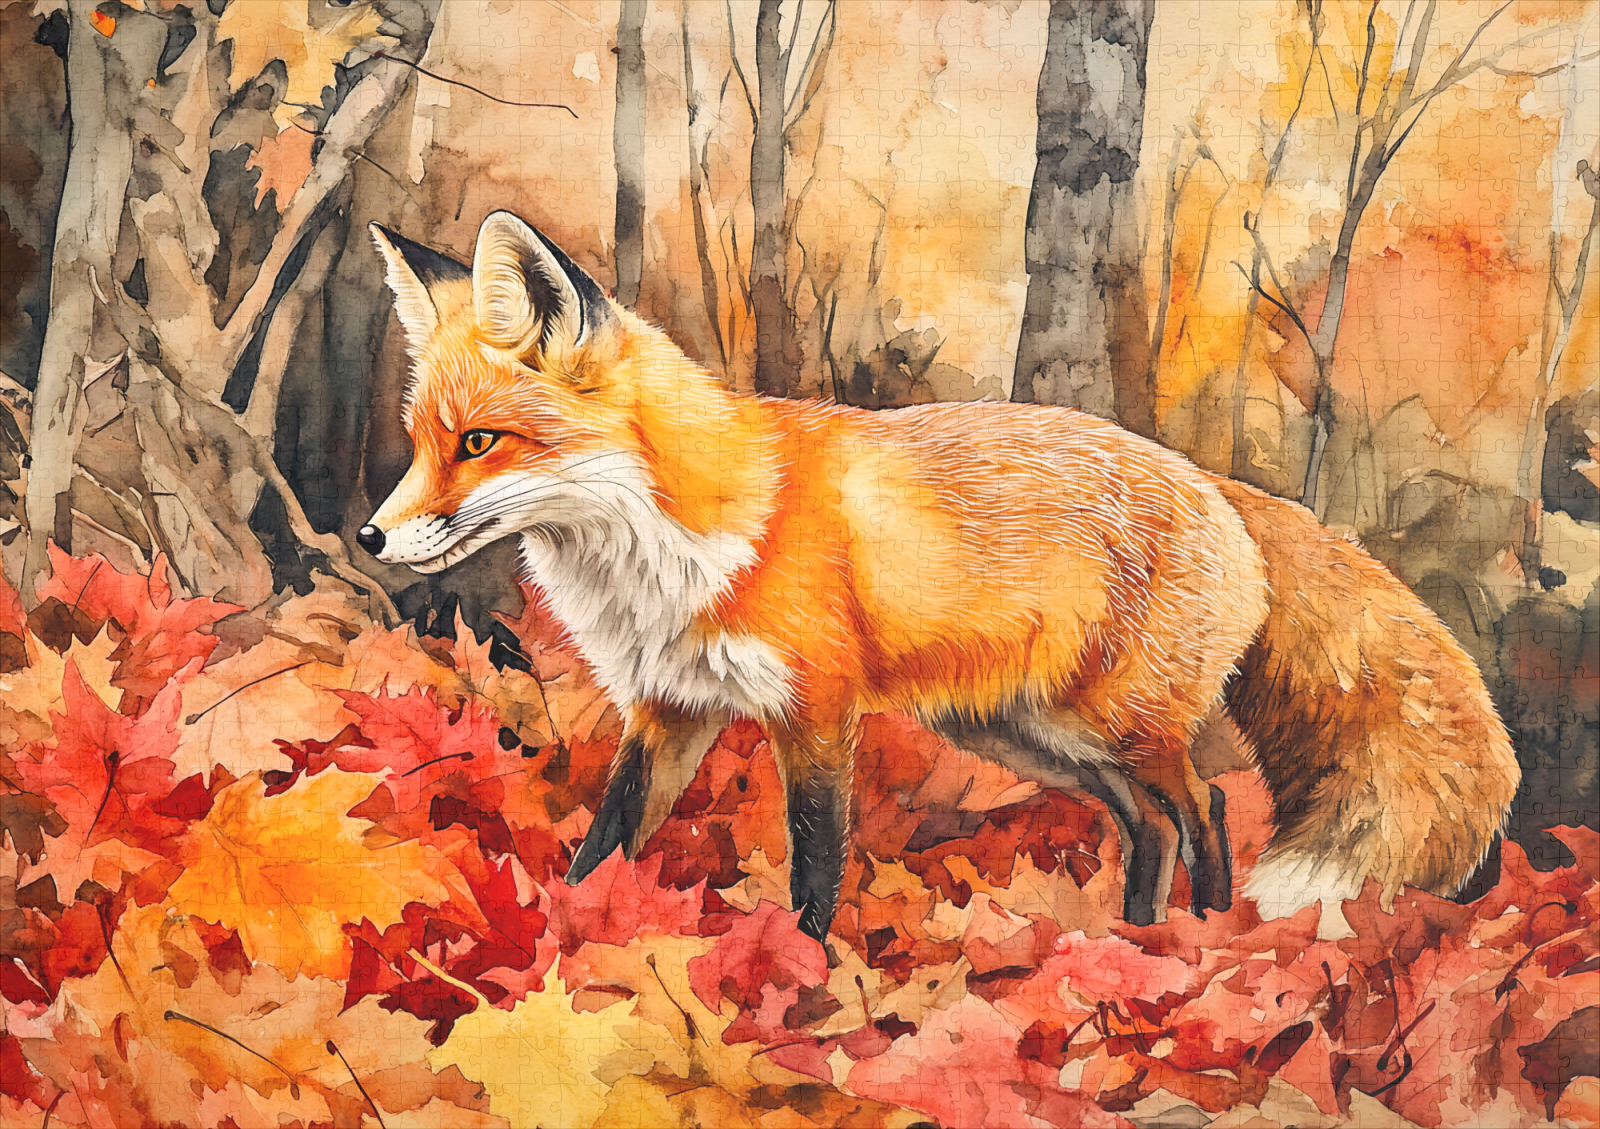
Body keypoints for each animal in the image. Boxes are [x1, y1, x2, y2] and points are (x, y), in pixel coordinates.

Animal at [358, 210, 1520, 942]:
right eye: (418, 442)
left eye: (479, 443)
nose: (369, 537)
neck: (681, 539)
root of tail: (1215, 483)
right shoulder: (671, 710)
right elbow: (606, 843)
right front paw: (562, 931)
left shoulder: (816, 711)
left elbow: (816, 860)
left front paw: (806, 973)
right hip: (1026, 730)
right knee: (1146, 824)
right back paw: (1130, 944)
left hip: (1116, 724)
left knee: (1206, 813)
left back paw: (1200, 935)